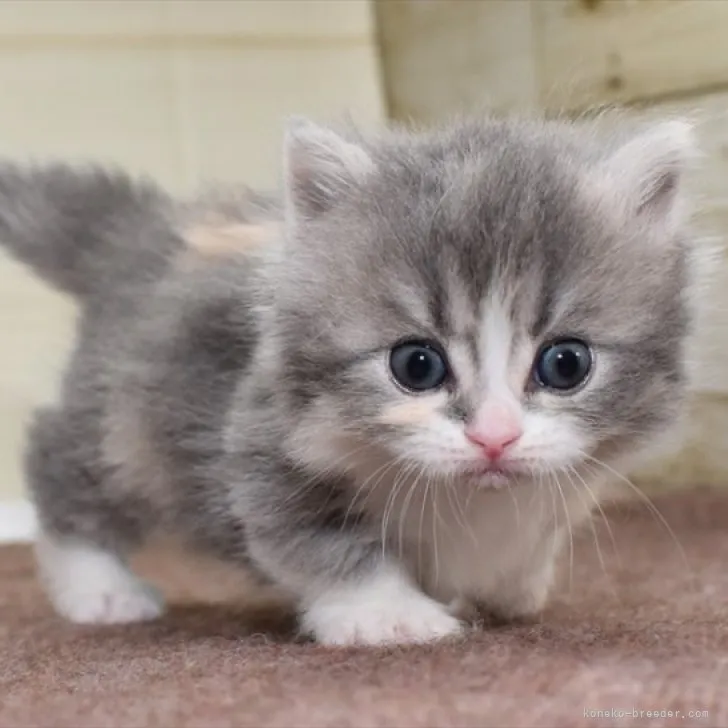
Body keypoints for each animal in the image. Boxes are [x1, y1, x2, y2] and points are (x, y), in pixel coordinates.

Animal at [0, 115, 708, 648]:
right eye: (416, 366)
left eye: (566, 364)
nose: (495, 437)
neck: (466, 501)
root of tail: (145, 230)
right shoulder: (259, 444)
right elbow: (320, 544)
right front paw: (387, 615)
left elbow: (532, 538)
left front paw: (511, 586)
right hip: (122, 423)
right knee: (62, 459)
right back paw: (99, 588)